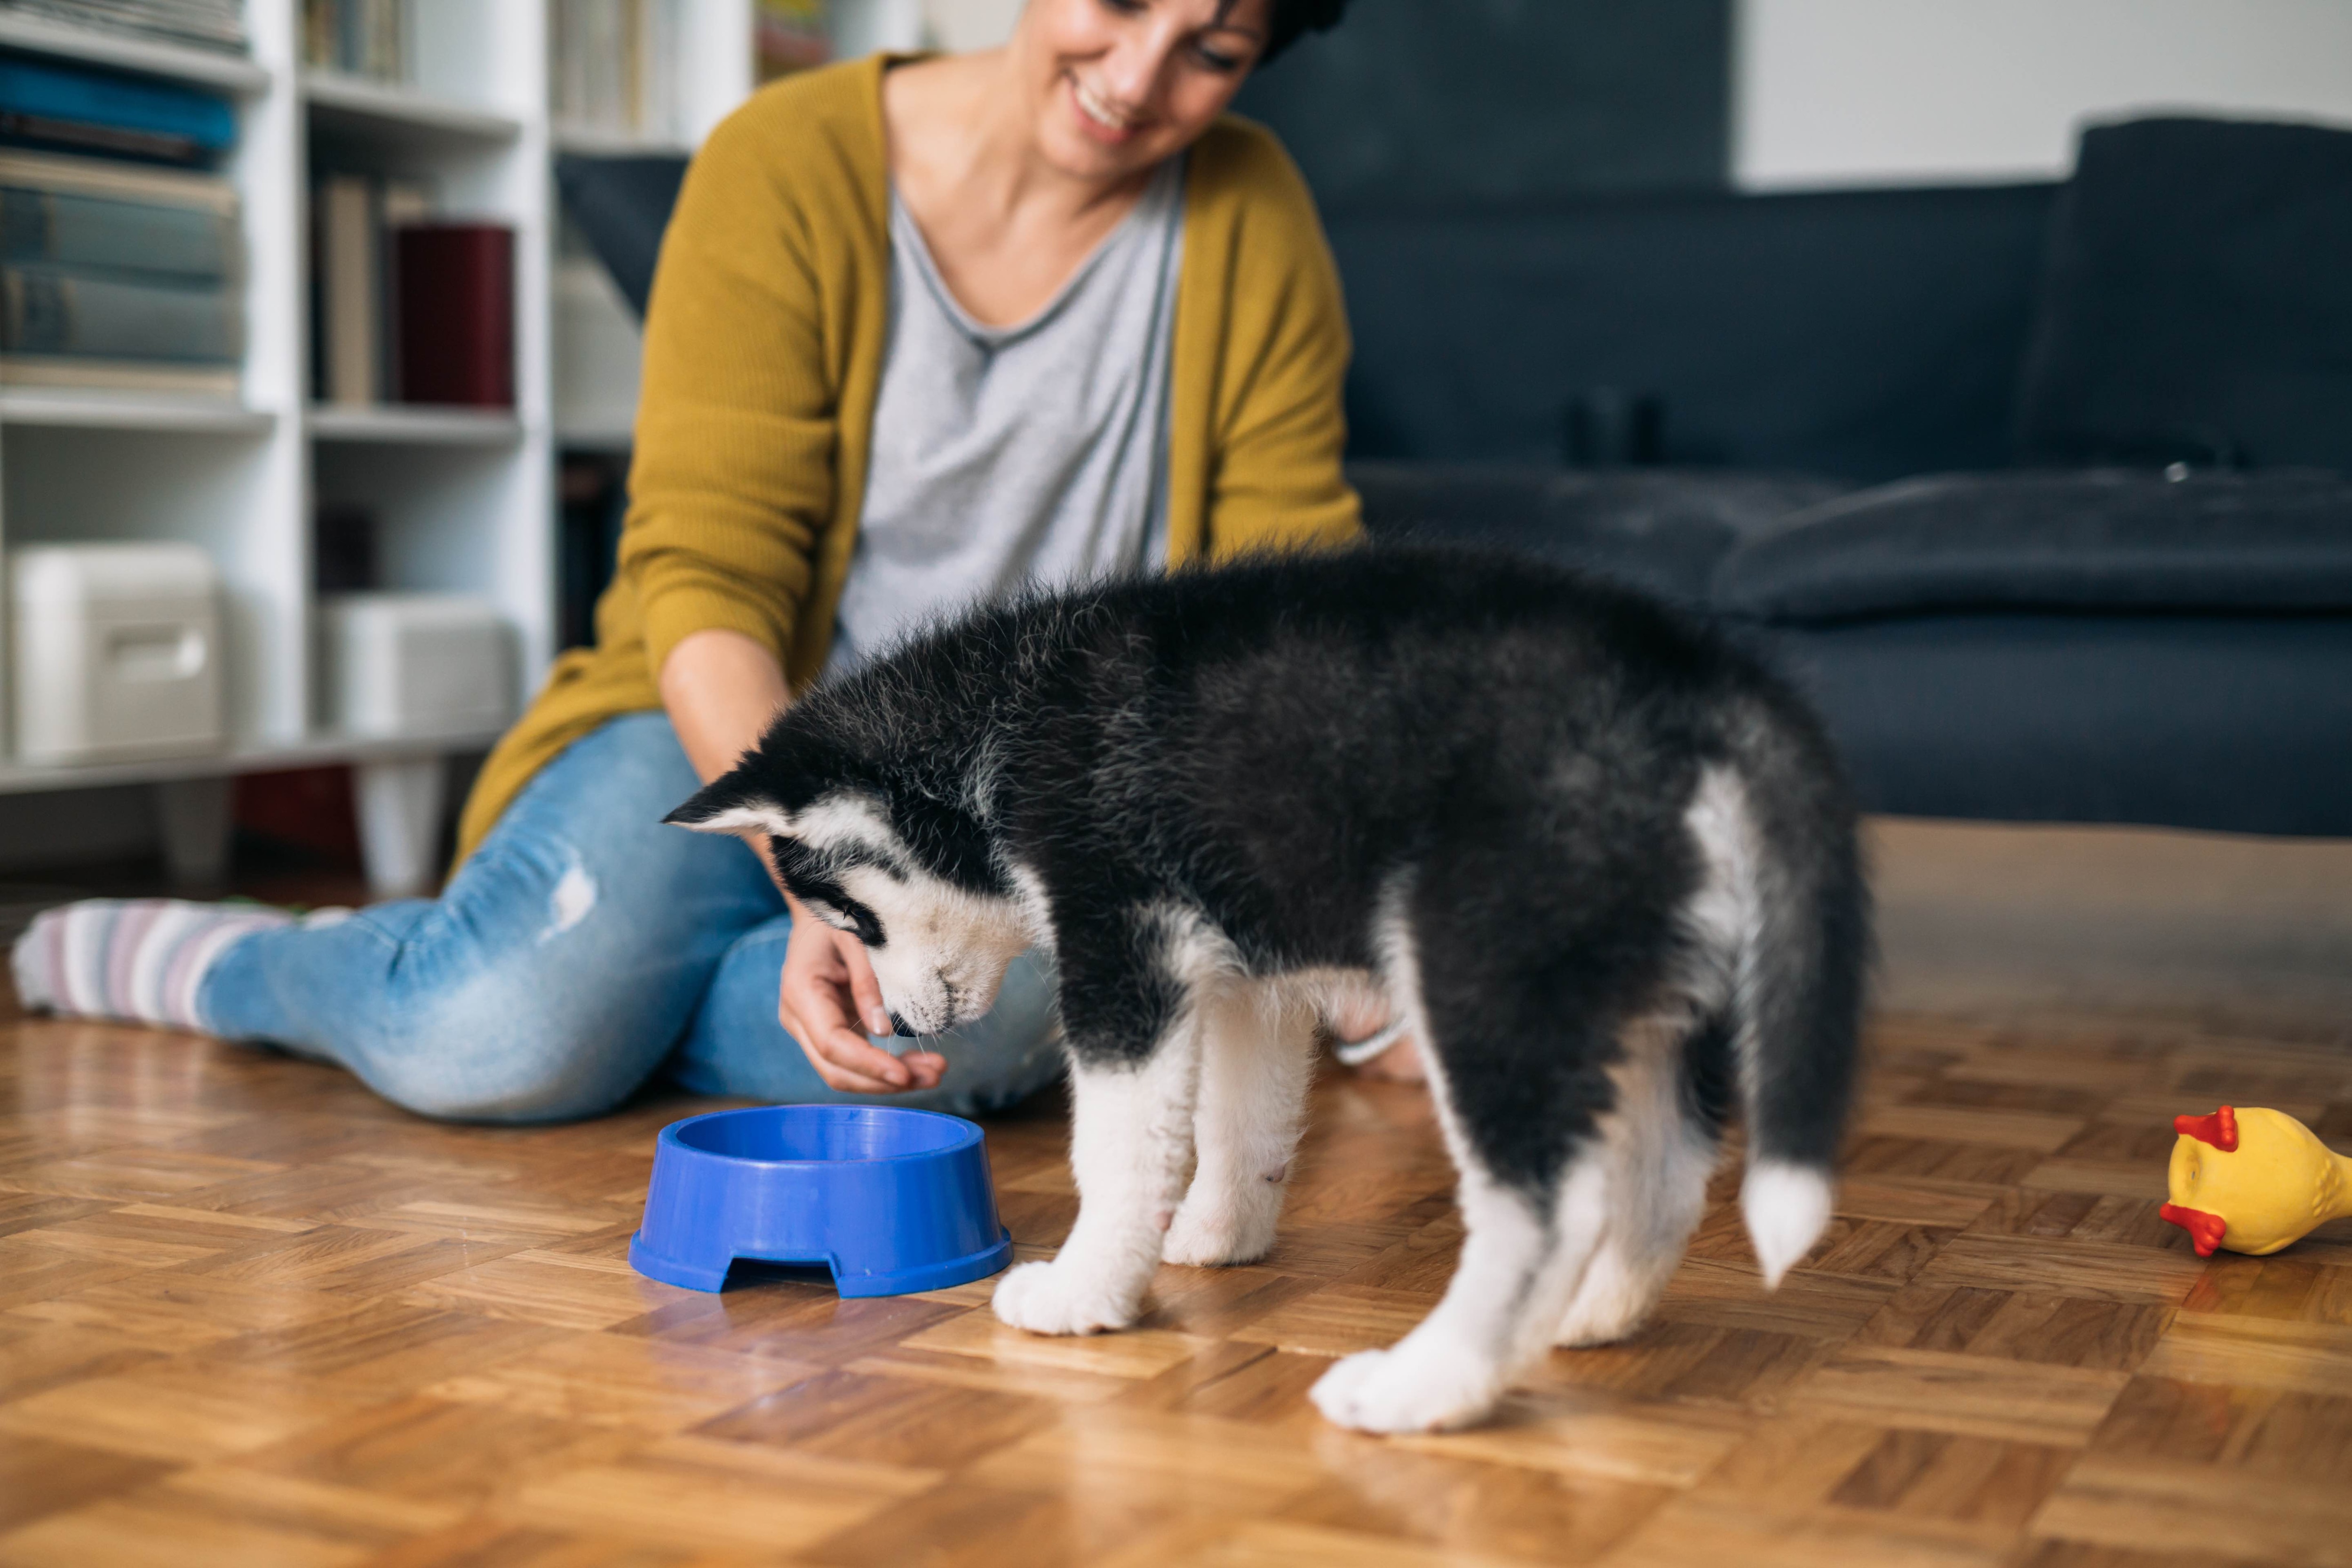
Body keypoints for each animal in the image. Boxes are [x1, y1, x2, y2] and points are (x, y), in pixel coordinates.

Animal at [673, 550, 1863, 1439]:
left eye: (852, 918)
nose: (895, 1028)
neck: (1002, 726)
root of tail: (1700, 684)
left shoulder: (1124, 938)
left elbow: (1122, 1145)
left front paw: (1088, 1290)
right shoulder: (1249, 976)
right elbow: (1240, 1122)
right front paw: (1214, 1233)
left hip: (1483, 965)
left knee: (1547, 1207)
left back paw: (1424, 1386)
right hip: (1659, 989)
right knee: (1665, 1177)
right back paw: (1590, 1318)